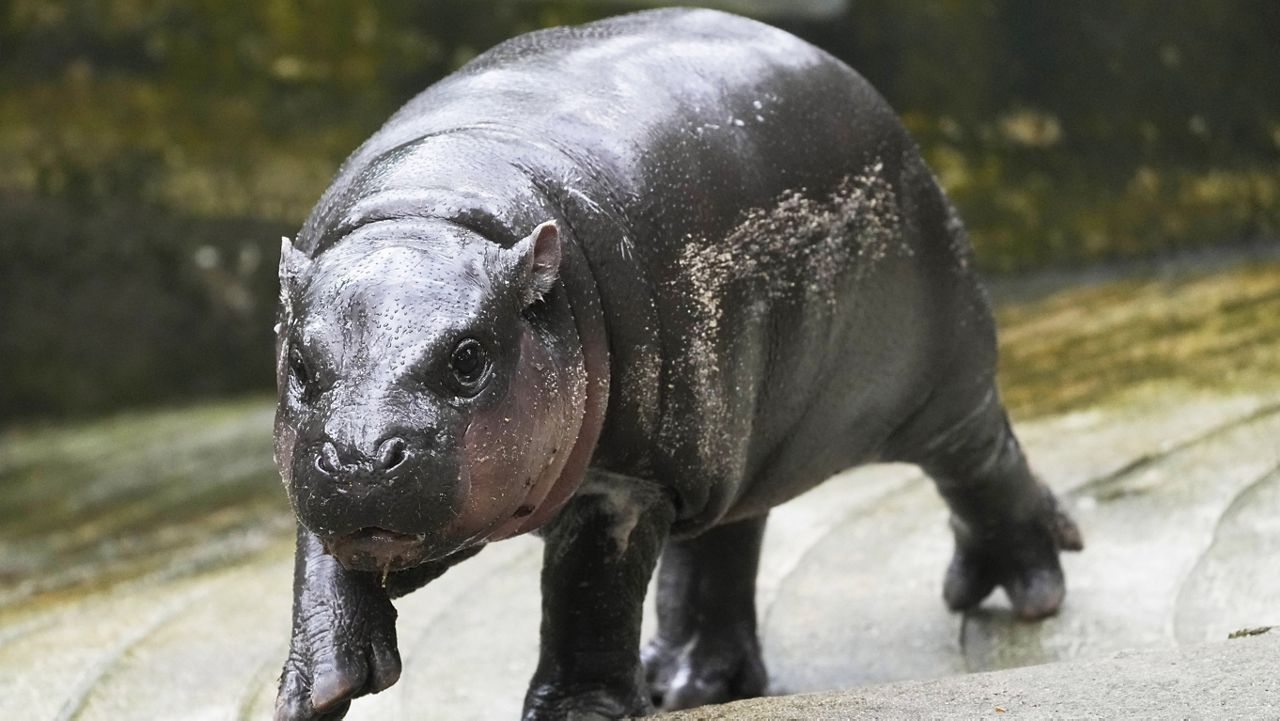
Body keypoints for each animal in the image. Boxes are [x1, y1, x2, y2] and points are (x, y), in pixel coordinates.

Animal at [270, 7, 1080, 721]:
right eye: (300, 364)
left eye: (469, 359)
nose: (361, 458)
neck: (435, 211)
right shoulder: (311, 464)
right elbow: (319, 561)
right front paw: (320, 690)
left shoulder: (630, 480)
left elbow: (590, 594)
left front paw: (580, 713)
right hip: (737, 436)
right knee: (723, 544)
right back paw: (689, 681)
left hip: (934, 378)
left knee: (981, 458)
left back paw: (1025, 588)